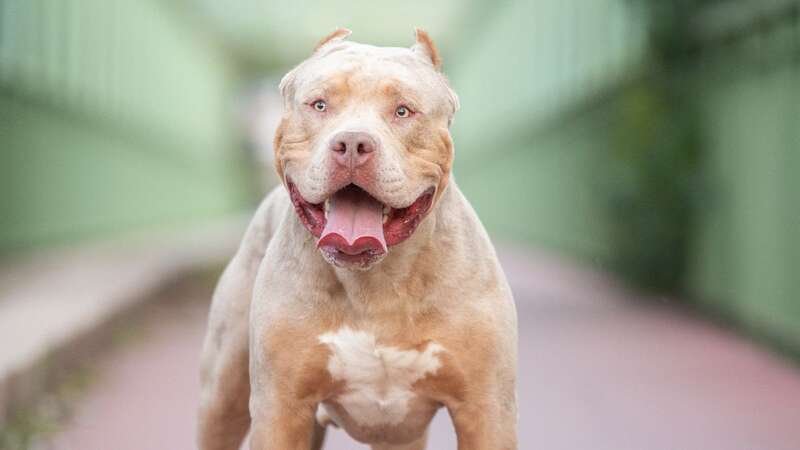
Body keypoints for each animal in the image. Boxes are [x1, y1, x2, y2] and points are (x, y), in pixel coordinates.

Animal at [197, 29, 516, 450]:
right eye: (319, 104)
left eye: (403, 111)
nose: (351, 144)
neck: (377, 283)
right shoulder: (280, 410)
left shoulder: (487, 410)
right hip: (222, 396)